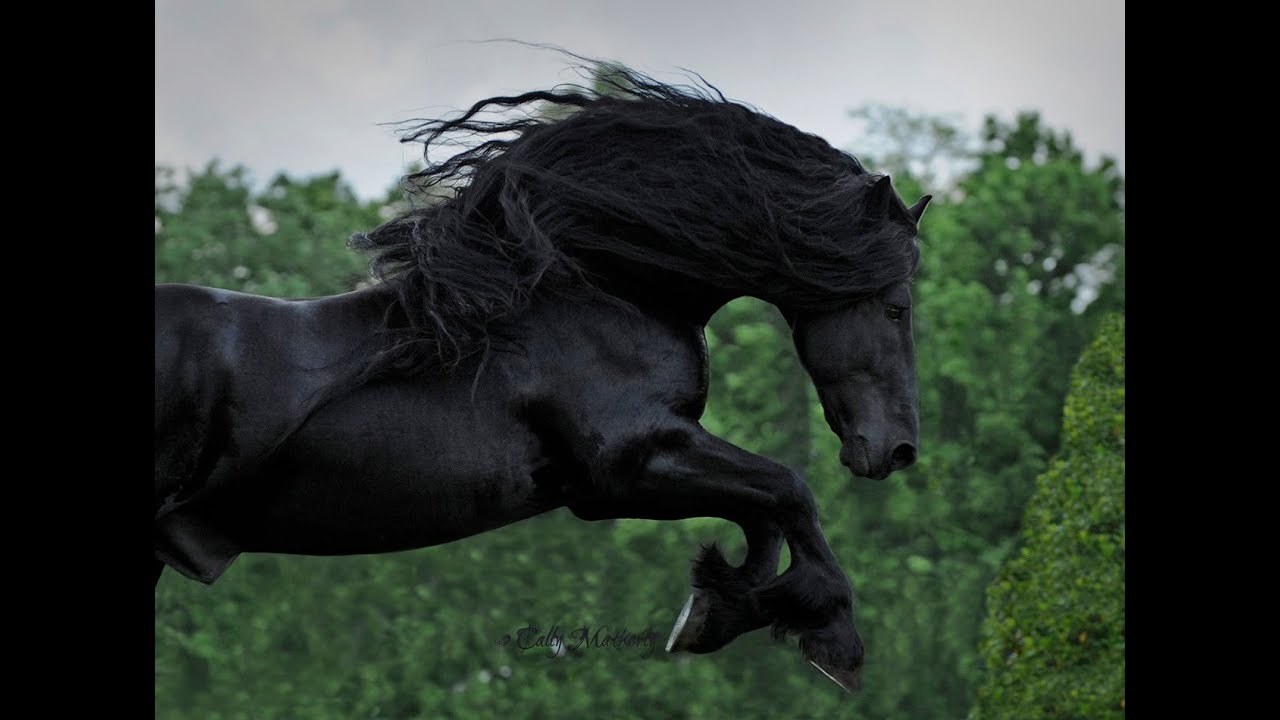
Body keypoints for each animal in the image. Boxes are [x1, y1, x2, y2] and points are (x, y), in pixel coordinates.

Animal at [154, 63, 930, 693]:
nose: (897, 449)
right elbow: (787, 490)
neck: (601, 292)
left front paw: (723, 605)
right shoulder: (626, 468)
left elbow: (763, 514)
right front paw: (831, 638)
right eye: (896, 307)